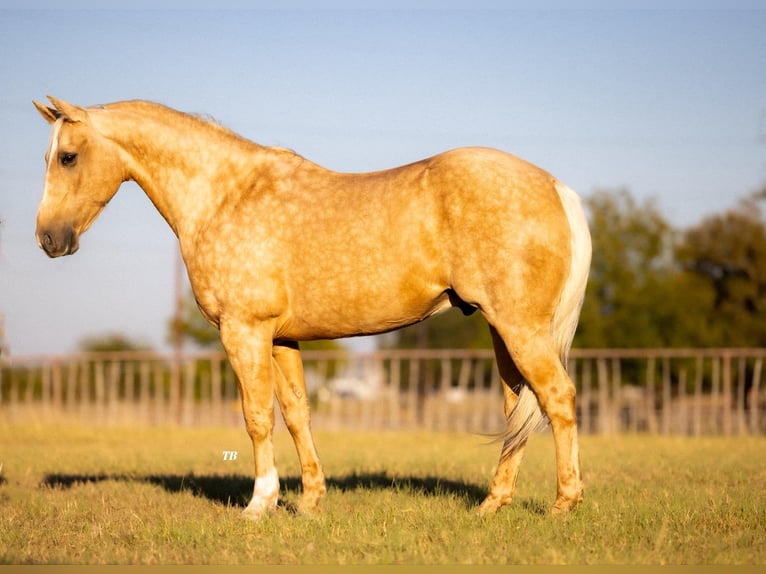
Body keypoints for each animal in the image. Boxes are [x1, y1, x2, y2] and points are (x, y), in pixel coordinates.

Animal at [33, 96, 591, 519]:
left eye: (67, 157)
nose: (48, 239)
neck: (224, 196)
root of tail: (556, 187)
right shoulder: (281, 338)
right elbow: (297, 413)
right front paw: (308, 501)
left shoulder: (244, 331)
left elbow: (257, 416)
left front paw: (259, 504)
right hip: (503, 331)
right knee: (518, 407)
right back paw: (492, 505)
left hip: (520, 327)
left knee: (558, 397)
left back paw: (564, 504)